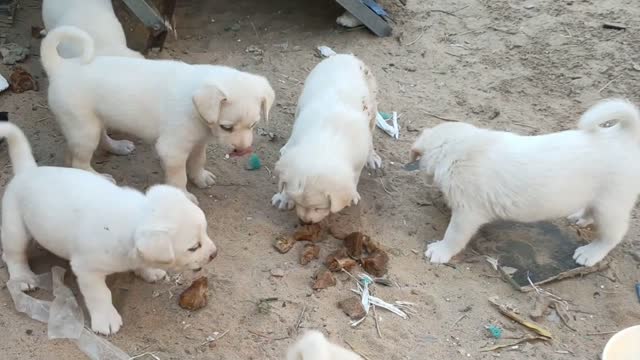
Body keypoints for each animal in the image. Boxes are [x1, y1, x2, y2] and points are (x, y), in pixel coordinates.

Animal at [0, 122, 218, 336]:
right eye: (193, 247)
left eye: (206, 233)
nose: (214, 254)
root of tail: (27, 170)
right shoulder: (87, 270)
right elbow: (100, 295)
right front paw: (106, 319)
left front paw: (149, 271)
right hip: (15, 229)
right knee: (14, 255)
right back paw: (22, 276)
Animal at [41, 26, 274, 202]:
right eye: (227, 127)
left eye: (253, 125)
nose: (242, 151)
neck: (196, 110)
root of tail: (61, 66)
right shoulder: (172, 150)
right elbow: (178, 177)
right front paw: (184, 196)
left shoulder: (198, 142)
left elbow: (198, 160)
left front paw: (200, 177)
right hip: (84, 128)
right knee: (79, 162)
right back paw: (99, 177)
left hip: (93, 123)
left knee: (89, 145)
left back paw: (118, 146)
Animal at [270, 53, 380, 224]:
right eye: (298, 203)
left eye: (319, 208)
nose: (305, 222)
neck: (325, 140)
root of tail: (345, 55)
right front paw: (284, 197)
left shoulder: (357, 160)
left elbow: (354, 177)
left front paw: (352, 195)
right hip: (301, 100)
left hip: (373, 108)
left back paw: (372, 156)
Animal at [410, 97, 640, 266]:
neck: (456, 149)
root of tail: (624, 136)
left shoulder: (468, 214)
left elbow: (454, 235)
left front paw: (440, 250)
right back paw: (581, 217)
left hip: (611, 206)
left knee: (613, 235)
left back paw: (590, 253)